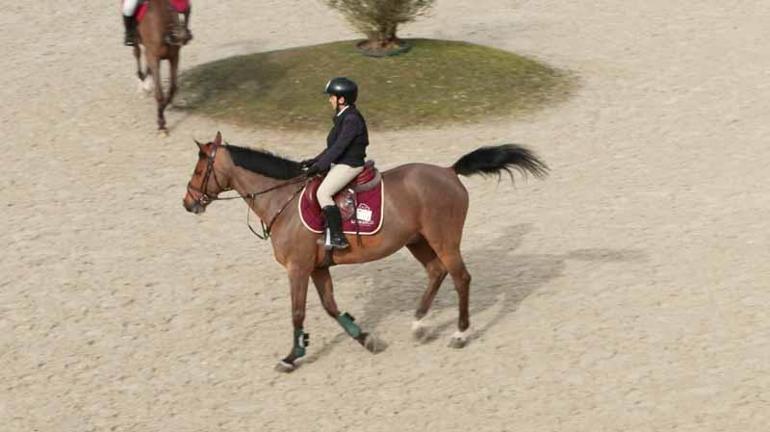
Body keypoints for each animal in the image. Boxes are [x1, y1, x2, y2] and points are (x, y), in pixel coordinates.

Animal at [132, 0, 191, 134]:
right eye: (171, 8)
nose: (181, 36)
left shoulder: (170, 57)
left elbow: (171, 88)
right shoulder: (158, 57)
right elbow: (163, 92)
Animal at [182, 132, 548, 372]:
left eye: (200, 170)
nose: (188, 203)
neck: (281, 199)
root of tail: (448, 171)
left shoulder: (298, 268)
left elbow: (297, 313)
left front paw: (290, 357)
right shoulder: (318, 268)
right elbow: (331, 308)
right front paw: (367, 340)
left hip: (443, 239)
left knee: (460, 277)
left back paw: (460, 334)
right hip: (418, 241)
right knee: (436, 272)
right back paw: (419, 325)